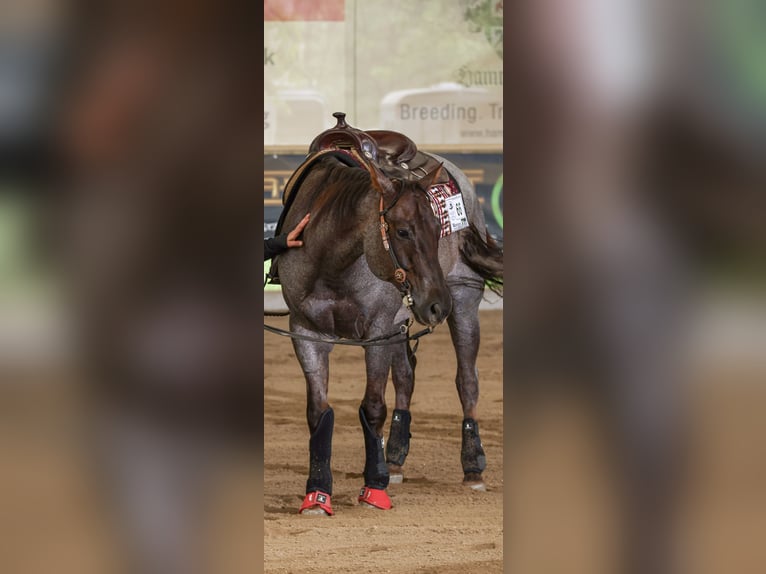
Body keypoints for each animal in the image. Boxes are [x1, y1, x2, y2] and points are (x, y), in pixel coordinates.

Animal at [273, 132, 503, 515]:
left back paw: (473, 467)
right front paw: (317, 494)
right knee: (406, 378)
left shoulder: (377, 331)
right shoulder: (305, 333)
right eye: (404, 231)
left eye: (438, 228)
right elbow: (319, 412)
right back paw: (394, 459)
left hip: (464, 299)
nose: (437, 304)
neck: (329, 261)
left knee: (467, 381)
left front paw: (373, 489)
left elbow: (373, 407)